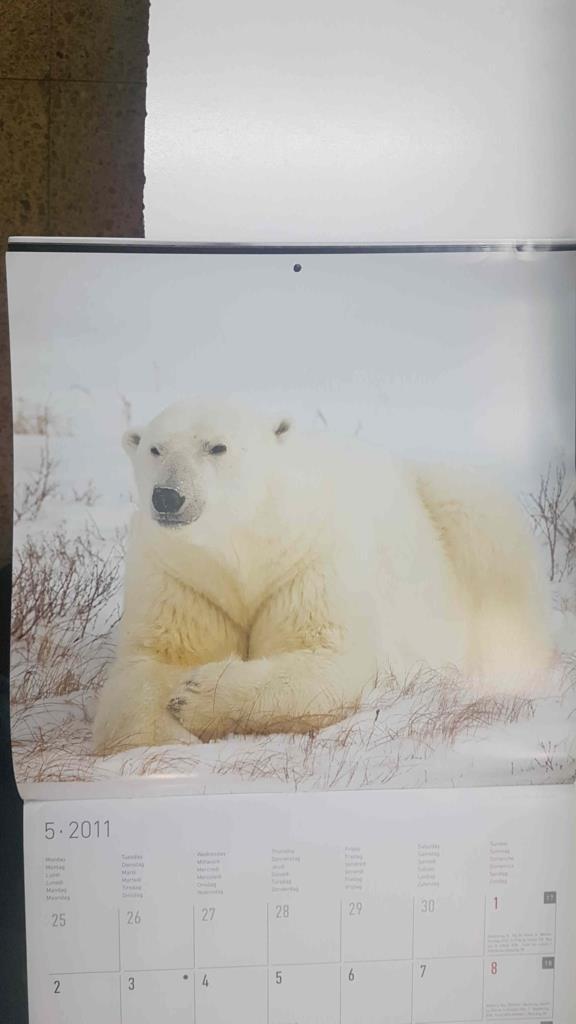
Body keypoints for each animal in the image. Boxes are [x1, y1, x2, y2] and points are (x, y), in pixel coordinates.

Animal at [92, 399, 552, 755]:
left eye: (217, 447)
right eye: (155, 448)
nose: (168, 496)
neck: (245, 543)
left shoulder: (307, 560)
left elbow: (326, 657)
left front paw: (195, 697)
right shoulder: (182, 576)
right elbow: (151, 664)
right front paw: (170, 737)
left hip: (456, 507)